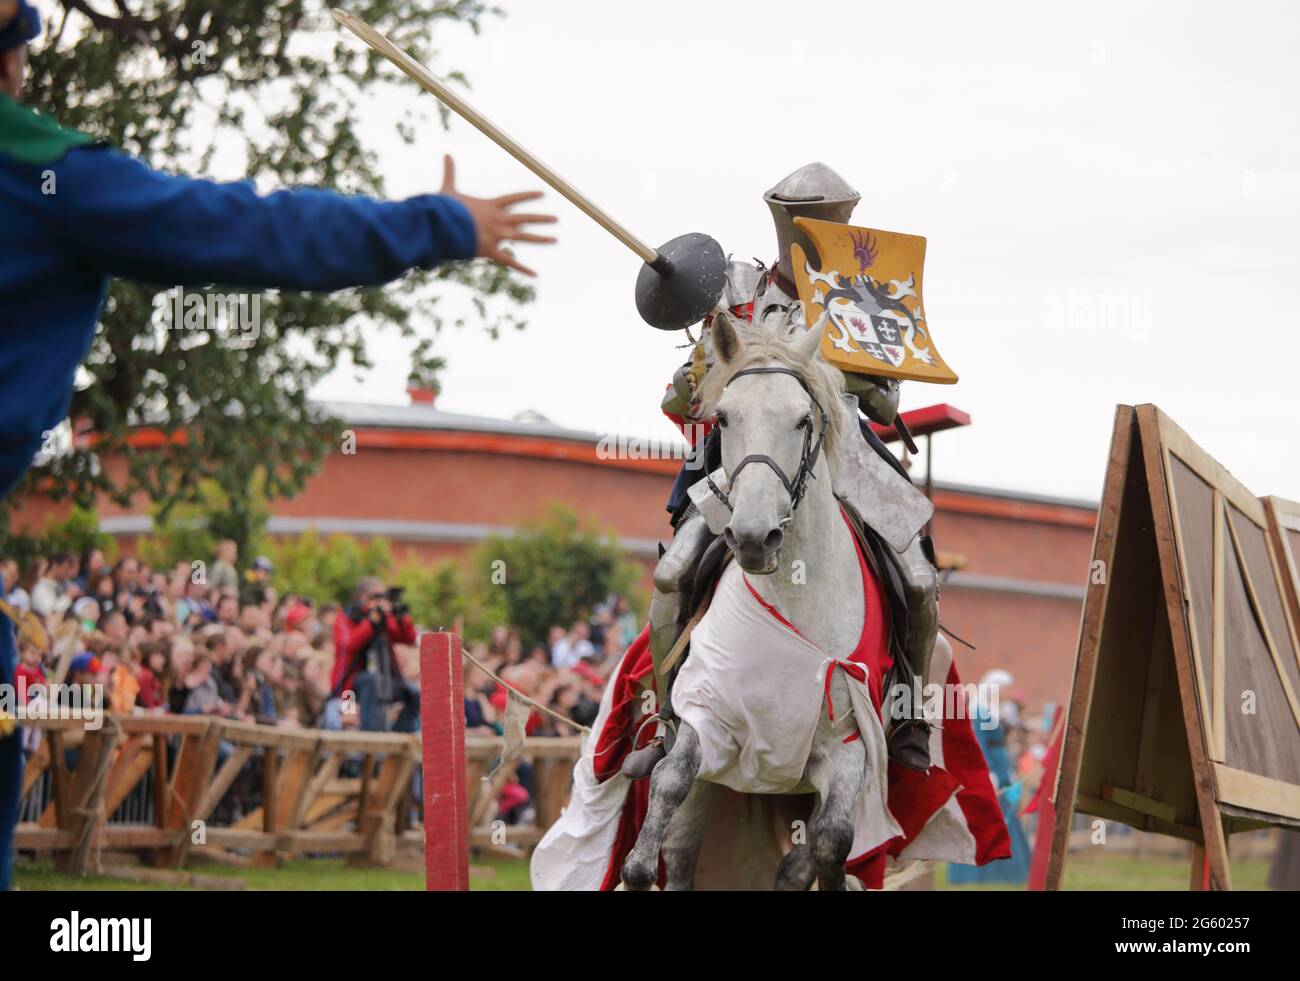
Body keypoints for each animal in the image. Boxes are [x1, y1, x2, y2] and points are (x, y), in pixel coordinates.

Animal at [621, 310, 904, 893]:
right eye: (724, 419)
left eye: (802, 420)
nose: (752, 538)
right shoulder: (706, 718)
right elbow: (667, 784)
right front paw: (638, 867)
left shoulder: (848, 749)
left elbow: (832, 842)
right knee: (681, 853)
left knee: (799, 864)